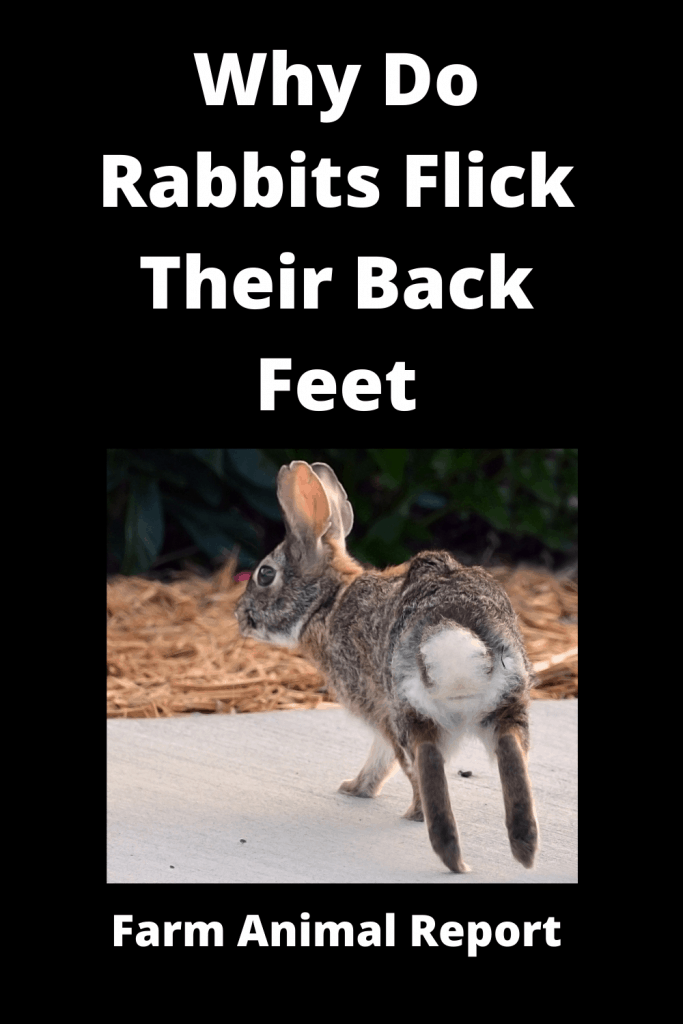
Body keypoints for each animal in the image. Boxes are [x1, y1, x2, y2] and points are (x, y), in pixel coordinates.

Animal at [235, 460, 539, 873]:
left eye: (265, 574)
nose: (239, 615)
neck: (327, 604)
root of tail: (450, 635)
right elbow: (379, 756)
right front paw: (354, 788)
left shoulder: (374, 704)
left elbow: (386, 758)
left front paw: (360, 791)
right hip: (507, 700)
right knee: (510, 752)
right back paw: (524, 847)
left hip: (409, 709)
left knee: (425, 767)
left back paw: (442, 845)